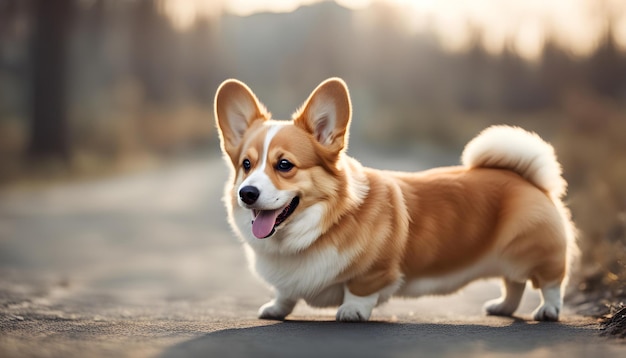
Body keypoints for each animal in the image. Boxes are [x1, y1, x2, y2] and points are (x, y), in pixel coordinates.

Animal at [212, 77, 572, 322]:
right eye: (246, 165)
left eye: (284, 165)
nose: (247, 194)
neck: (316, 227)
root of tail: (528, 178)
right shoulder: (287, 281)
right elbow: (285, 292)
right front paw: (275, 308)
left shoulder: (374, 272)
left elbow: (359, 290)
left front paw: (351, 311)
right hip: (510, 259)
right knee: (514, 284)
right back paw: (502, 308)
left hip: (536, 252)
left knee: (550, 282)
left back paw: (548, 310)